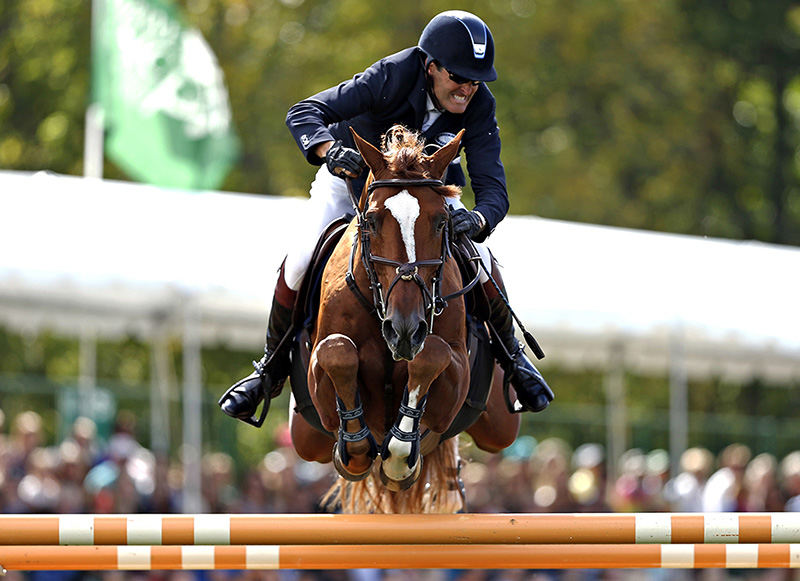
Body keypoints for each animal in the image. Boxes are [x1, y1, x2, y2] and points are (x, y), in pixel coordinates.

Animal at [288, 127, 520, 512]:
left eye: (442, 222)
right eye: (371, 221)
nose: (405, 330)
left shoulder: (454, 375)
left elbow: (432, 354)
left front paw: (398, 458)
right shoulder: (320, 376)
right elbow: (338, 351)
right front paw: (357, 447)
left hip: (500, 423)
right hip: (305, 434)